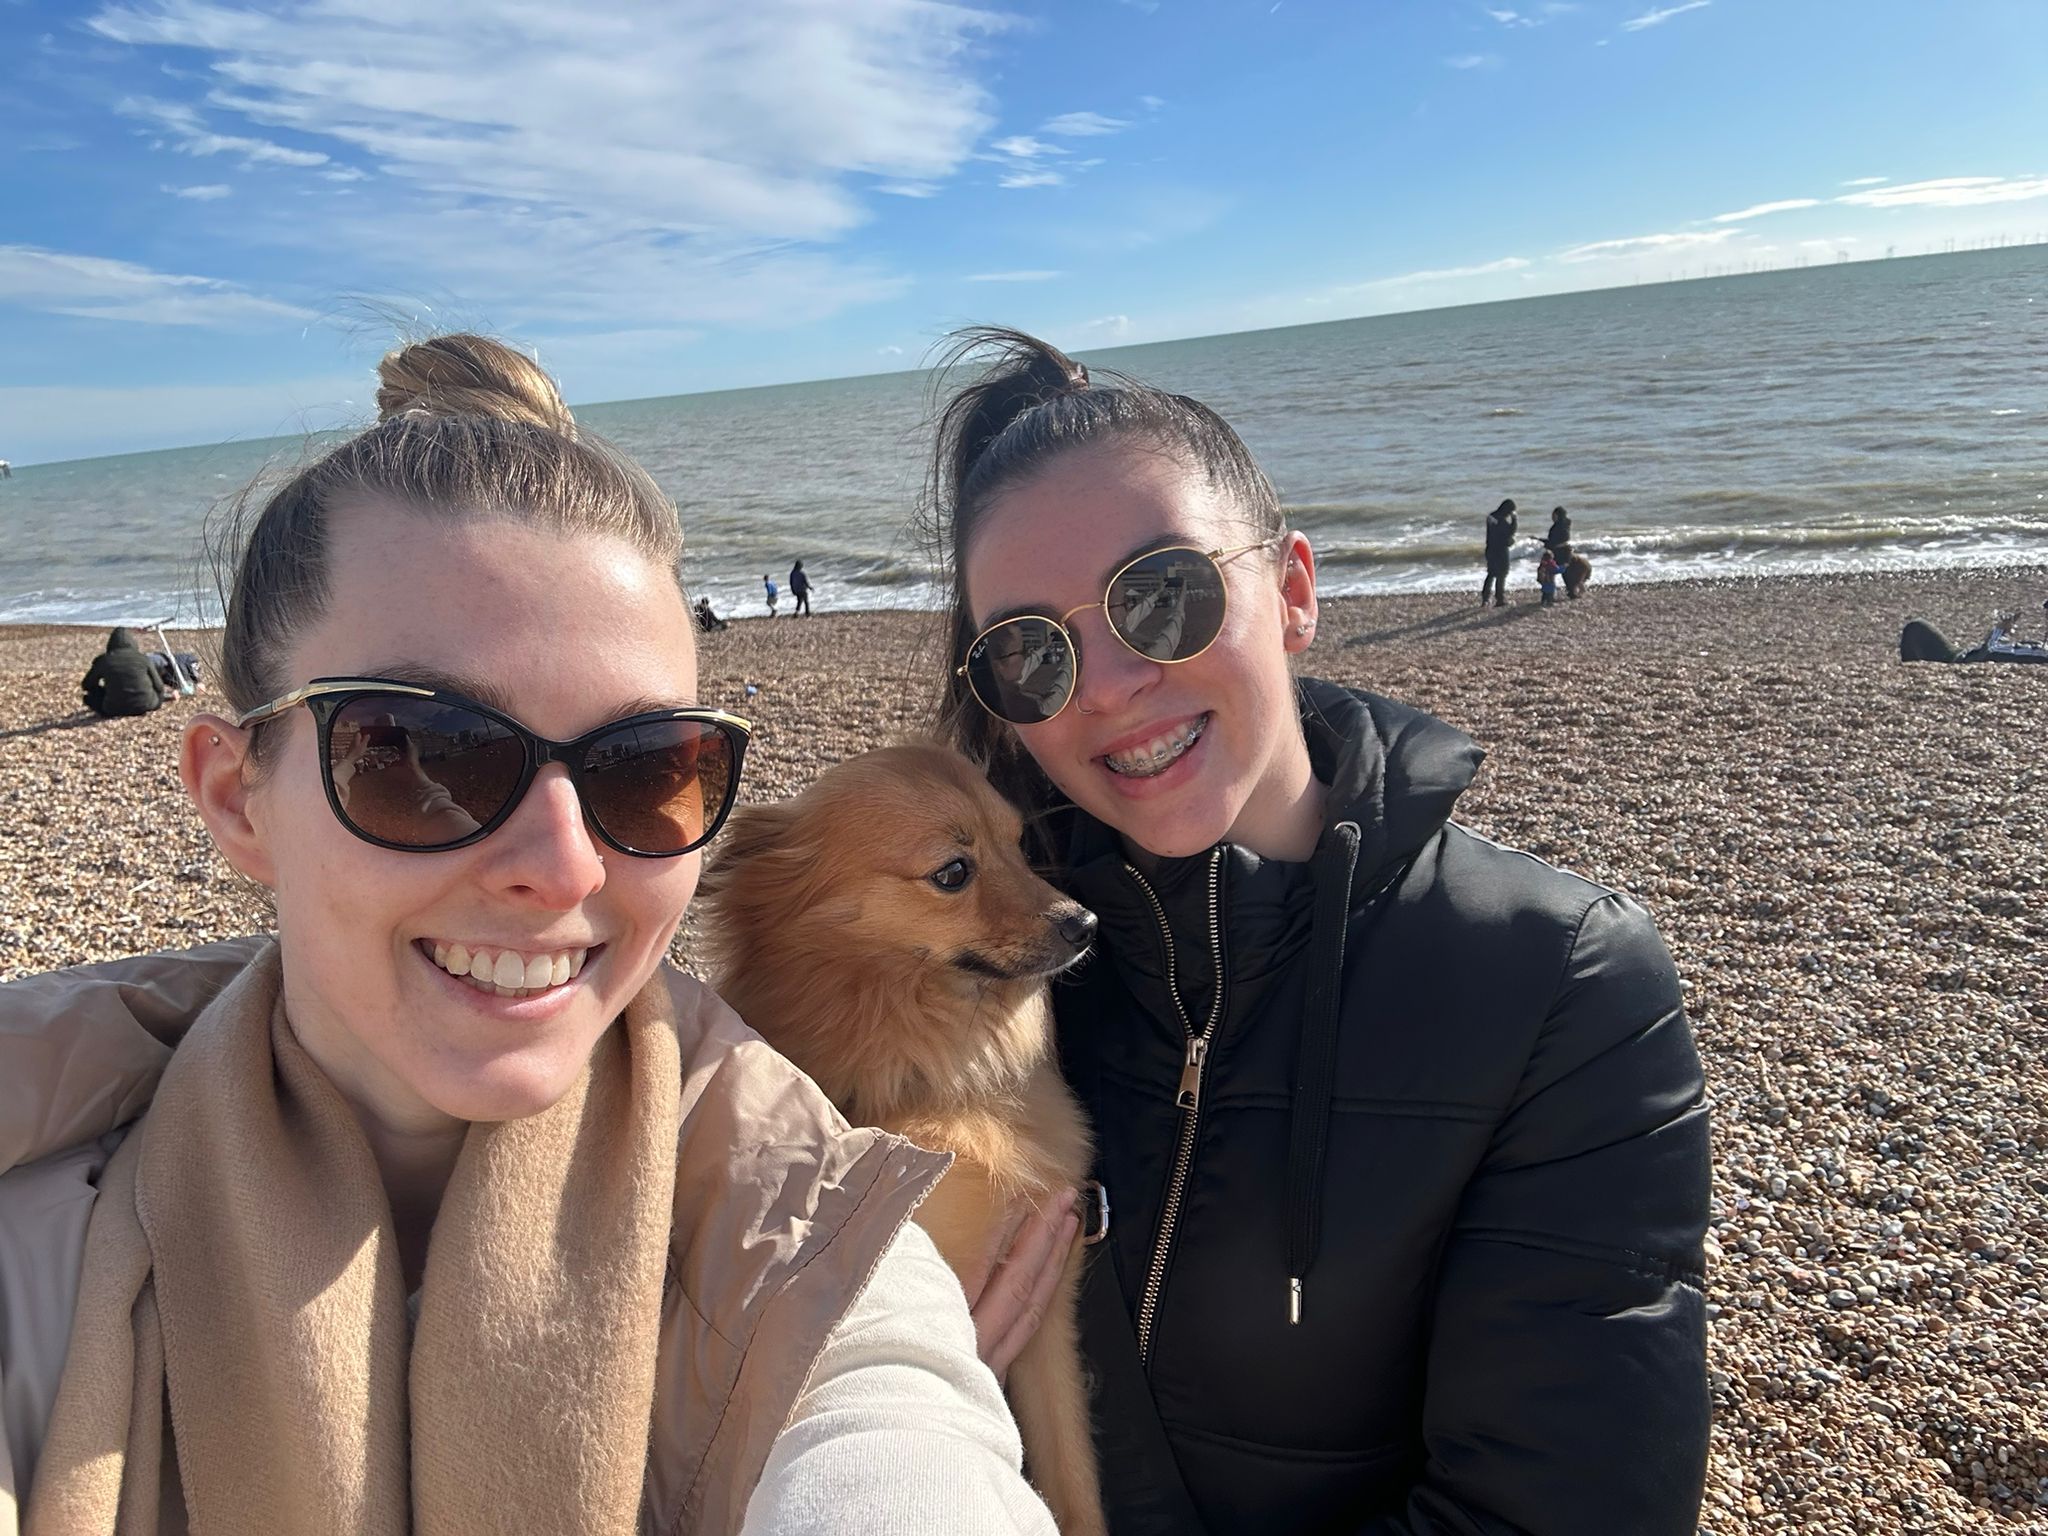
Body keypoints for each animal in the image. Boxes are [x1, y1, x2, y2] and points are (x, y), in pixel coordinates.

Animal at [692, 745, 1114, 1536]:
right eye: (953, 872)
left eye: (1020, 844)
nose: (1085, 922)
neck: (943, 1084)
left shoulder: (1049, 1332)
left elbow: (1074, 1485)